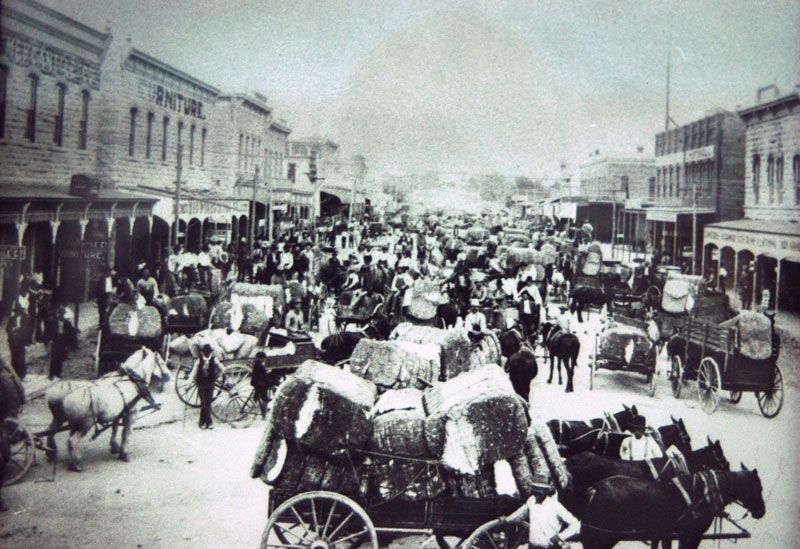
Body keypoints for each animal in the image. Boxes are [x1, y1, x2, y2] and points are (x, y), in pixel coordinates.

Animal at [580, 467, 765, 549]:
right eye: (759, 488)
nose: (762, 511)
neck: (704, 492)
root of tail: (595, 489)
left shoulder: (676, 533)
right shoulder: (694, 533)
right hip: (607, 536)